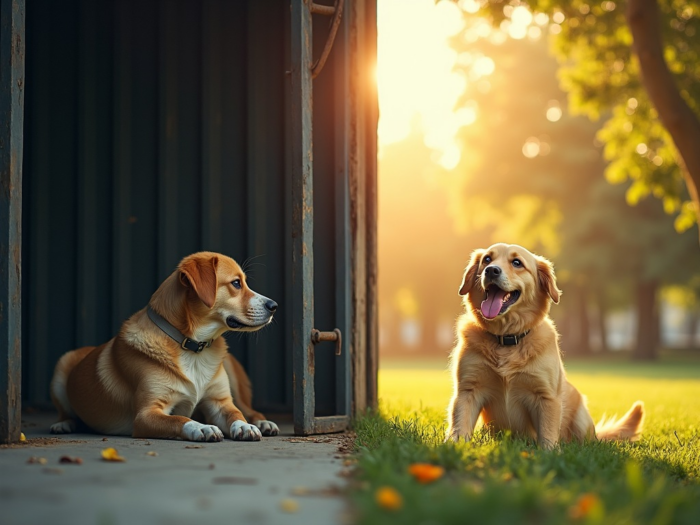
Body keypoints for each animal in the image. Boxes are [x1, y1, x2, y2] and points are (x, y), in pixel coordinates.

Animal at [50, 252, 278, 440]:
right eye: (236, 283)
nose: (274, 306)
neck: (192, 347)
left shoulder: (220, 402)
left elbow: (235, 413)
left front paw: (244, 426)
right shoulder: (146, 414)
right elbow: (179, 419)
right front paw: (201, 427)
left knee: (249, 409)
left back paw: (262, 422)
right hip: (62, 366)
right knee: (64, 411)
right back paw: (63, 424)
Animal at [446, 244, 644, 448]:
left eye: (517, 262)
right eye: (487, 259)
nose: (491, 270)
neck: (507, 338)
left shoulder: (546, 395)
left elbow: (547, 433)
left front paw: (549, 451)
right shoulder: (468, 389)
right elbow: (460, 424)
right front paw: (455, 446)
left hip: (580, 416)